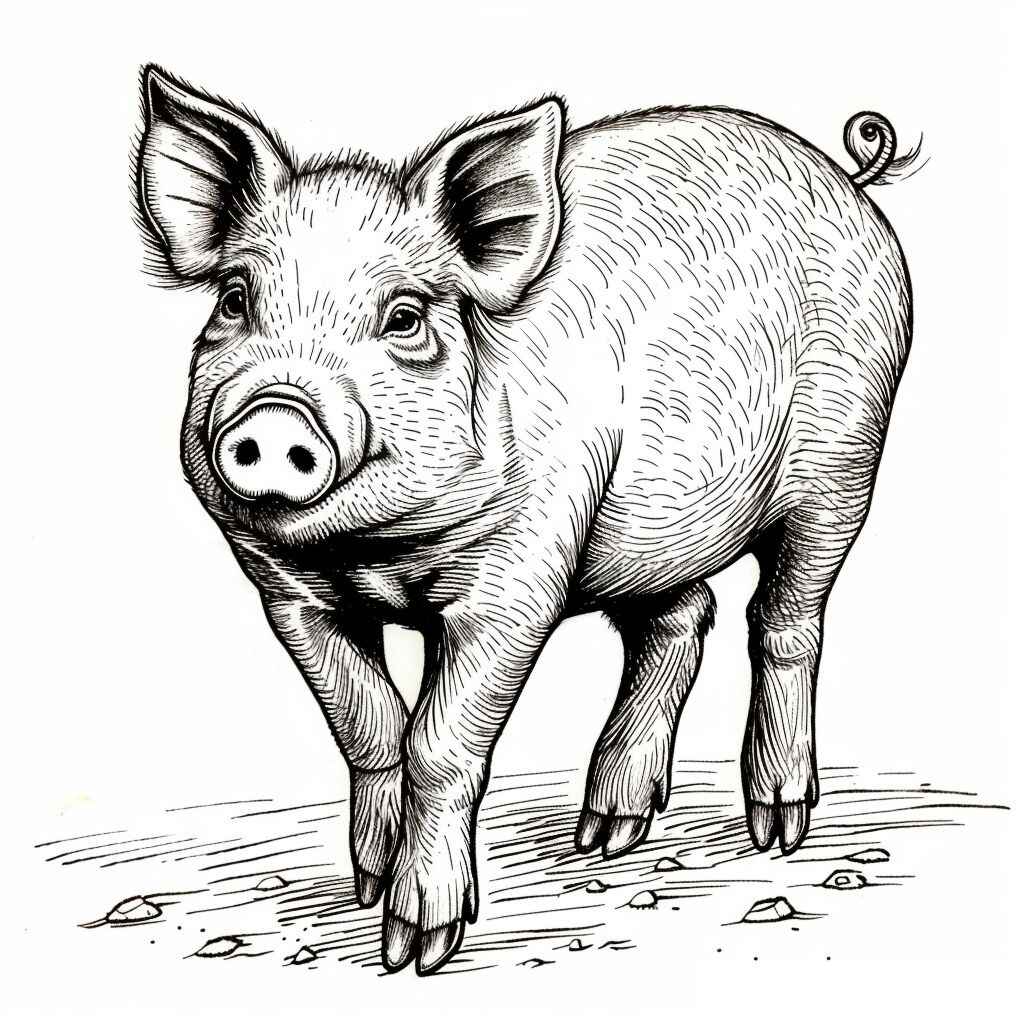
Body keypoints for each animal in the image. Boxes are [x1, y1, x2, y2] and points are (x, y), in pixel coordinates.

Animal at [135, 65, 915, 974]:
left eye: (405, 317)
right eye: (235, 298)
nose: (274, 414)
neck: (372, 554)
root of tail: (846, 178)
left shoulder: (519, 576)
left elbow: (438, 743)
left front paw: (417, 948)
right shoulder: (287, 591)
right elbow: (368, 728)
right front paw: (366, 886)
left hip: (844, 462)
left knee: (785, 621)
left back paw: (776, 830)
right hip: (643, 532)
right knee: (684, 617)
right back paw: (607, 834)